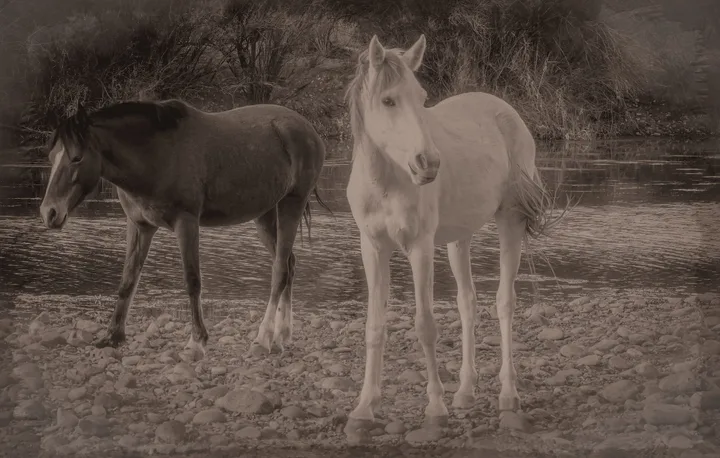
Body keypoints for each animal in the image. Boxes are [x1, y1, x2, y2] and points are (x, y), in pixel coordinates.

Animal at [39, 98, 330, 356]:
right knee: (289, 264)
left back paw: (263, 339)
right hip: (265, 215)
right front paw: (113, 336)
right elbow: (128, 280)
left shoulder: (186, 223)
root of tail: (307, 128)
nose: (49, 212)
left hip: (292, 203)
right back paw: (282, 336)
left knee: (280, 270)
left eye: (76, 158)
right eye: (51, 156)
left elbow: (192, 281)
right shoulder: (139, 226)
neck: (158, 155)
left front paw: (197, 342)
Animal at [344, 34, 560, 429]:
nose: (428, 164)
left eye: (422, 97)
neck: (387, 181)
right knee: (467, 303)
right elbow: (375, 326)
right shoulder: (373, 248)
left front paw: (435, 406)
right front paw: (365, 407)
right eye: (388, 100)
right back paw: (466, 391)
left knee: (504, 302)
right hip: (460, 239)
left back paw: (508, 394)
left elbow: (425, 325)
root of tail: (511, 114)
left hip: (510, 223)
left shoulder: (420, 248)